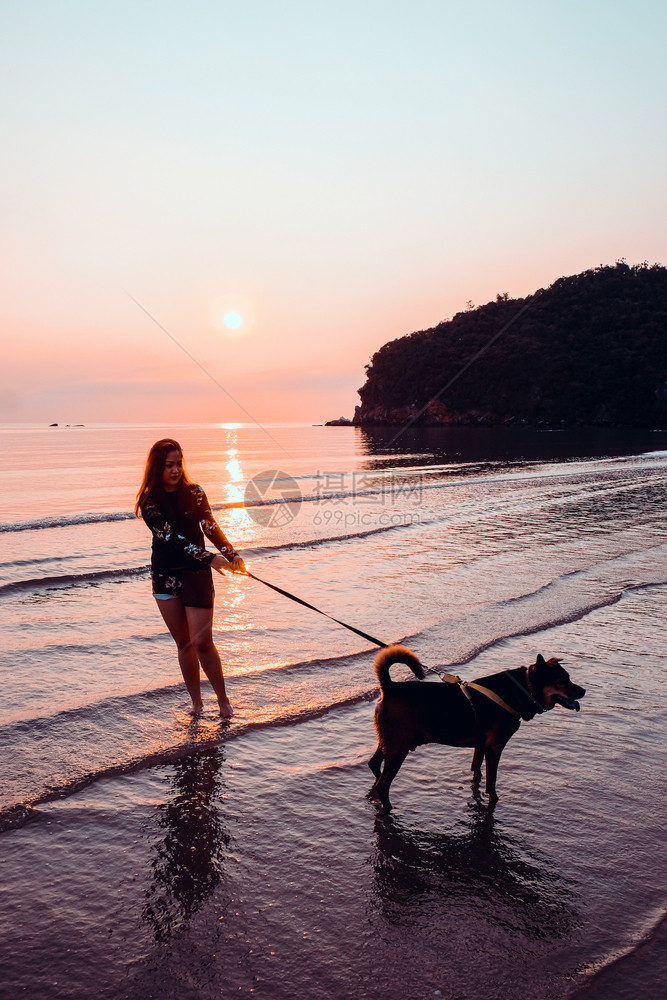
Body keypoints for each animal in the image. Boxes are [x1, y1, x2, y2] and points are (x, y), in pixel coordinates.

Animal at [370, 644, 584, 808]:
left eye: (569, 677)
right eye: (561, 681)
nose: (583, 691)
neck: (524, 688)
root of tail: (390, 687)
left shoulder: (481, 745)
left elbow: (476, 768)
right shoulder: (494, 748)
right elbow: (492, 780)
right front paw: (493, 798)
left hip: (391, 742)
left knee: (374, 765)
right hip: (399, 747)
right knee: (383, 784)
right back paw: (388, 809)